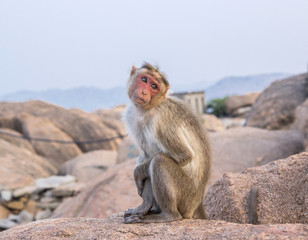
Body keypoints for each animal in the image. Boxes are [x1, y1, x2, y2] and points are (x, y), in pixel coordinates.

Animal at [122, 63, 212, 223]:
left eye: (154, 86)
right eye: (144, 79)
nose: (144, 91)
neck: (147, 109)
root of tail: (198, 203)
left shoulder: (162, 120)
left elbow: (183, 155)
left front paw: (137, 173)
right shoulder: (131, 116)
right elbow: (145, 155)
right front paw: (144, 205)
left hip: (186, 194)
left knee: (159, 161)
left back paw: (168, 215)